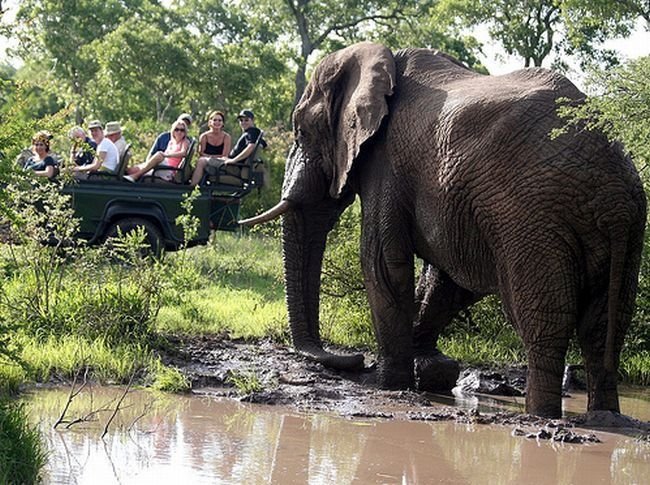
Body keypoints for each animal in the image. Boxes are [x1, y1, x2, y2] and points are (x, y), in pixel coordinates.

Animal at [243, 41, 644, 416]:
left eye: (301, 131)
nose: (352, 361)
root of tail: (615, 188)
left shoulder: (387, 160)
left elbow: (383, 263)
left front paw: (390, 383)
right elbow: (448, 280)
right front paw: (432, 371)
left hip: (532, 217)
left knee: (544, 321)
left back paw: (541, 414)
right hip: (626, 230)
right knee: (604, 325)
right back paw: (605, 416)